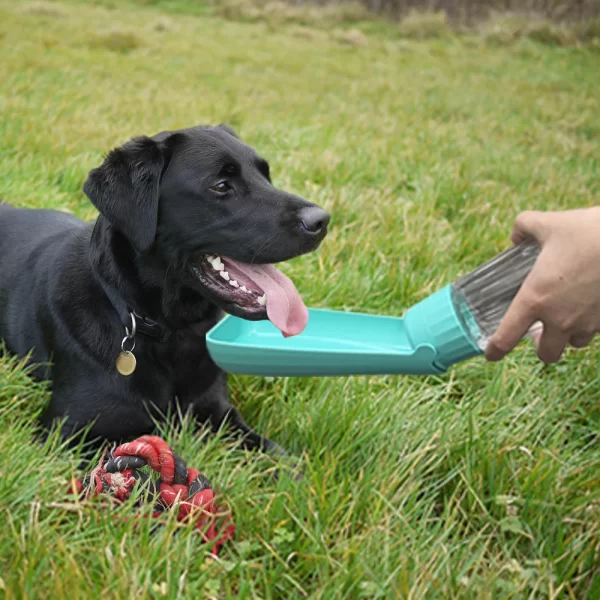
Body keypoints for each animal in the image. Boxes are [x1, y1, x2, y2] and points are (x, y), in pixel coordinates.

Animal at [0, 124, 328, 458]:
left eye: (266, 175)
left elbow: (277, 455)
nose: (322, 221)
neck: (170, 331)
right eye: (221, 186)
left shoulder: (217, 411)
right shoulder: (64, 435)